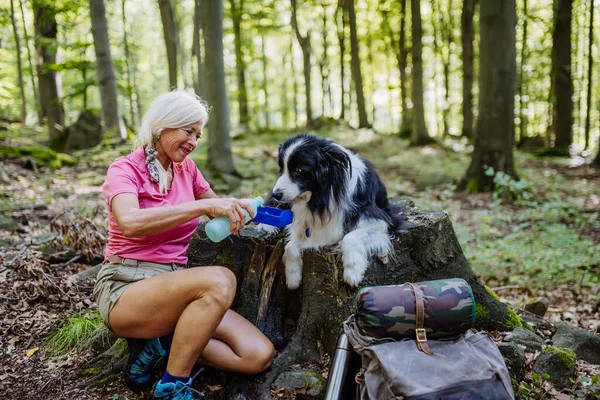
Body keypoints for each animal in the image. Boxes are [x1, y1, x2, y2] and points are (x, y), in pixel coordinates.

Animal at [268, 134, 406, 288]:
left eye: (298, 171)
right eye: (281, 170)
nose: (275, 194)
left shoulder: (382, 218)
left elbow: (349, 237)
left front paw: (353, 271)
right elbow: (291, 245)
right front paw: (292, 277)